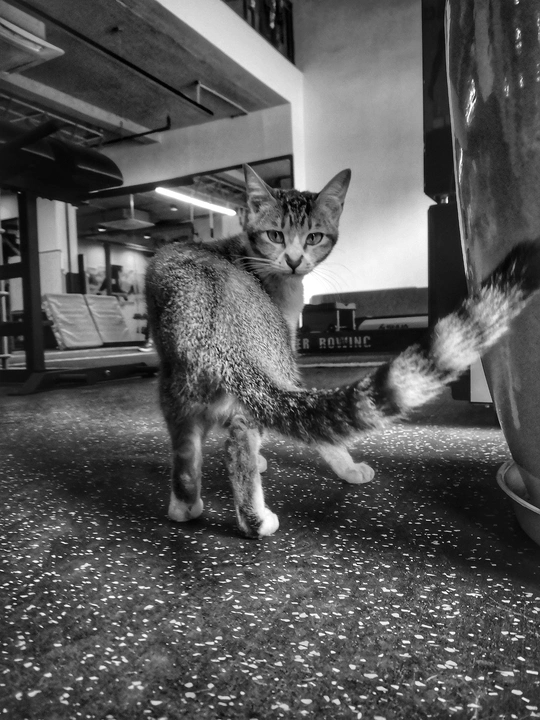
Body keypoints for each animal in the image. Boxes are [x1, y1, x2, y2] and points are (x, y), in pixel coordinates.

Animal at [146, 165, 540, 538]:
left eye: (313, 237)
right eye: (275, 235)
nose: (293, 260)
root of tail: (214, 337)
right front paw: (270, 461)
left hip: (177, 391)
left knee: (188, 451)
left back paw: (185, 505)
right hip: (273, 364)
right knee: (245, 438)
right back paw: (267, 512)